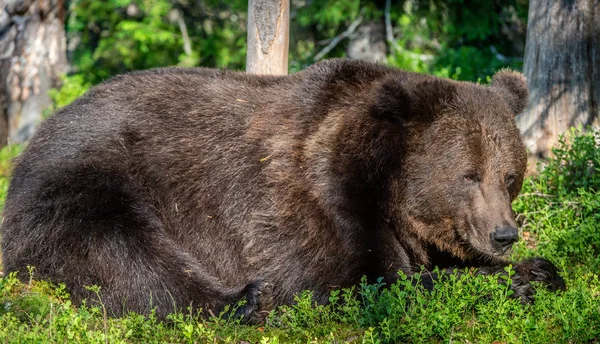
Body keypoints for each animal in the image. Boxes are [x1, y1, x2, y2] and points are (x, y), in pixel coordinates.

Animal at [0, 59, 564, 322]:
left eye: (509, 176)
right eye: (468, 174)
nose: (504, 234)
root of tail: (36, 139)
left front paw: (538, 270)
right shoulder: (312, 202)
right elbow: (365, 280)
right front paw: (514, 280)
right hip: (88, 182)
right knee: (123, 254)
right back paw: (244, 300)